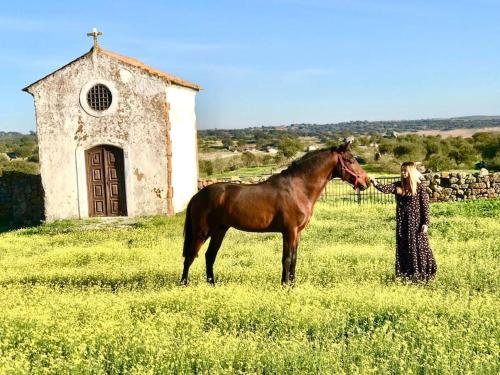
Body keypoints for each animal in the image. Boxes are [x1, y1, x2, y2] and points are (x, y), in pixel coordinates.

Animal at [182, 140, 370, 284]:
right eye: (350, 160)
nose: (366, 182)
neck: (298, 188)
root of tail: (197, 195)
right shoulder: (289, 231)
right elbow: (286, 259)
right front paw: (285, 286)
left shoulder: (297, 233)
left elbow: (294, 259)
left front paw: (292, 285)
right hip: (202, 232)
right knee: (190, 256)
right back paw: (184, 284)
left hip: (219, 231)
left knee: (209, 256)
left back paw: (212, 284)